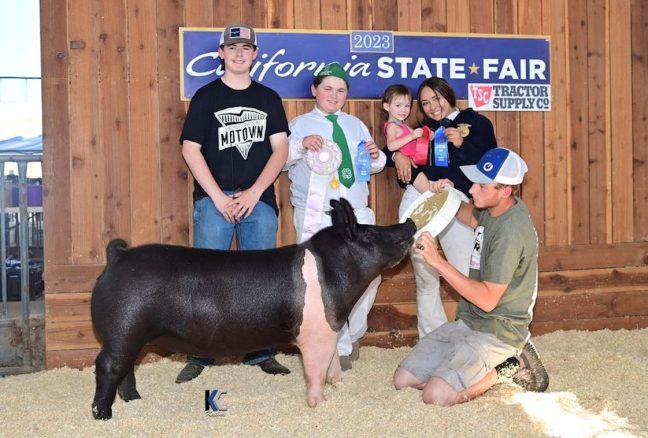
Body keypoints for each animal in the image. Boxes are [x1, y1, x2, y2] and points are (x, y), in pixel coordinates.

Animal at [90, 198, 416, 418]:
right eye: (369, 234)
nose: (409, 223)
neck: (333, 274)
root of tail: (117, 257)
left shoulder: (330, 328)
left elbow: (333, 364)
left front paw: (338, 387)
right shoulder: (313, 333)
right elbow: (315, 370)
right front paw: (317, 404)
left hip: (132, 334)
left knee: (126, 368)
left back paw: (135, 400)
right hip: (124, 326)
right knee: (108, 365)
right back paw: (103, 415)